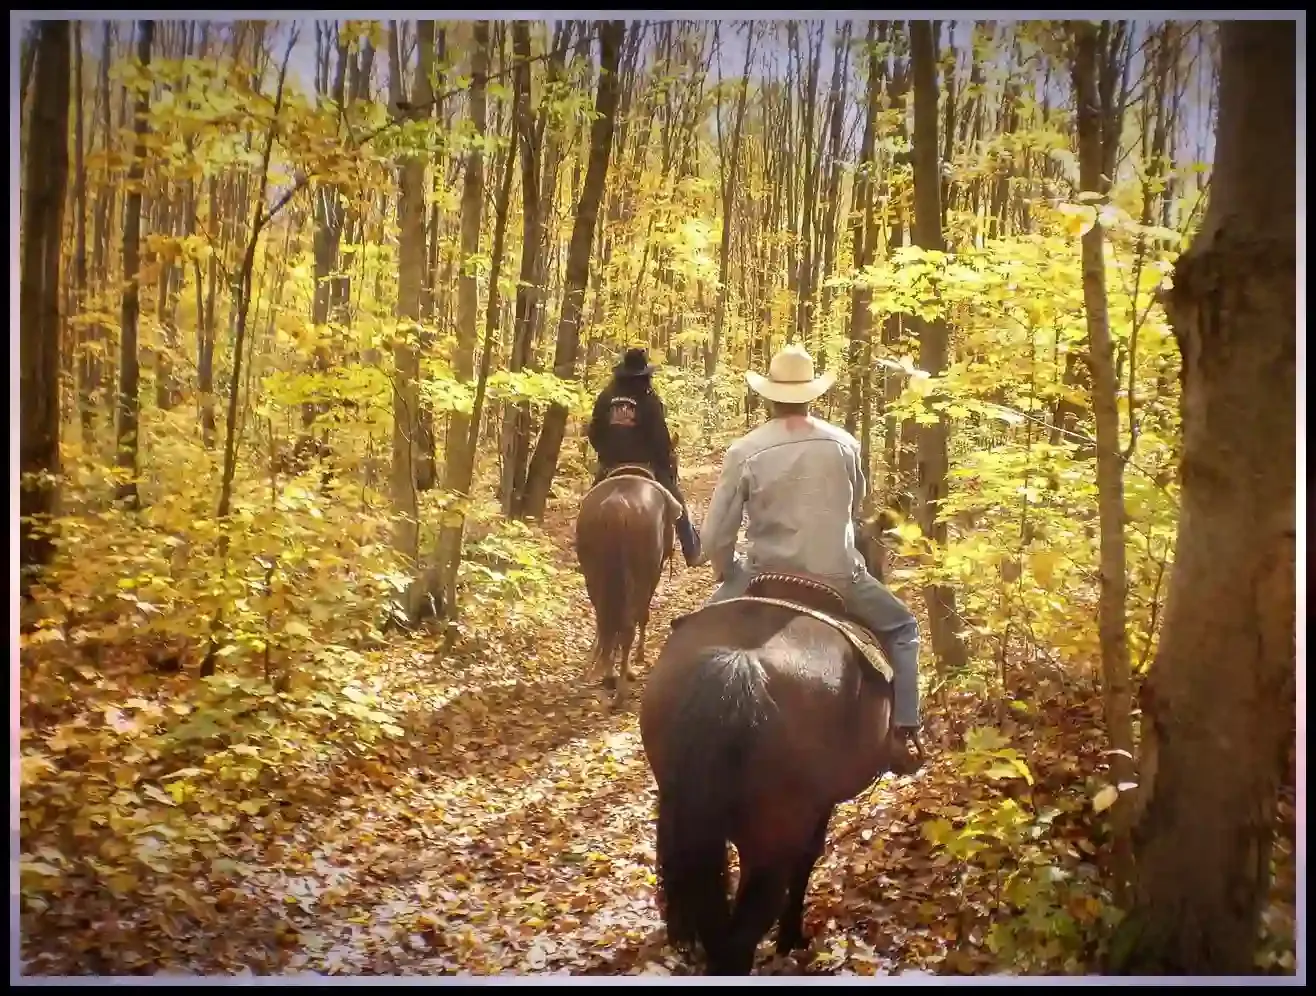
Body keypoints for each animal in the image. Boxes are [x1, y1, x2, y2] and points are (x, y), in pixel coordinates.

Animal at [573, 455, 684, 705]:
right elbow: (644, 615)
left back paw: (610, 675)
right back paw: (622, 686)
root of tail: (617, 508)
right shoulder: (654, 573)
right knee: (627, 627)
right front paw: (641, 657)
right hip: (639, 578)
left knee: (606, 623)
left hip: (595, 577)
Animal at [636, 523, 905, 973]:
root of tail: (737, 665)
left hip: (688, 817)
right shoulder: (818, 809)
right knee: (741, 934)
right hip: (770, 842)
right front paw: (791, 937)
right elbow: (807, 860)